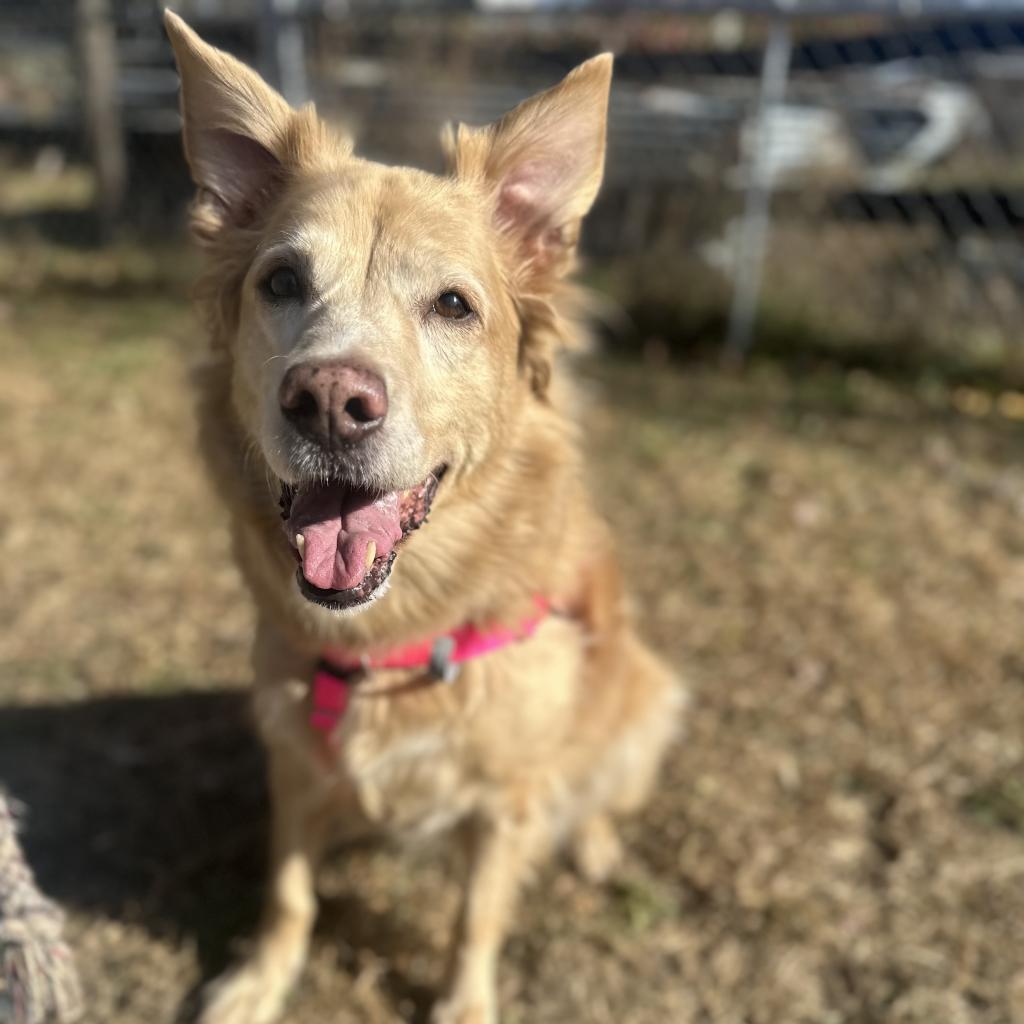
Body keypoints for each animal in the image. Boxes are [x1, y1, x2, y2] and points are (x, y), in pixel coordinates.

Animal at [163, 12, 684, 1019]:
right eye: (281, 282)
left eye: (452, 304)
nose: (329, 402)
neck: (394, 641)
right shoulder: (293, 761)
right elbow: (289, 893)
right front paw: (258, 981)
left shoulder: (508, 797)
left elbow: (476, 917)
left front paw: (465, 1003)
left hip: (650, 695)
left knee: (601, 791)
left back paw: (597, 843)